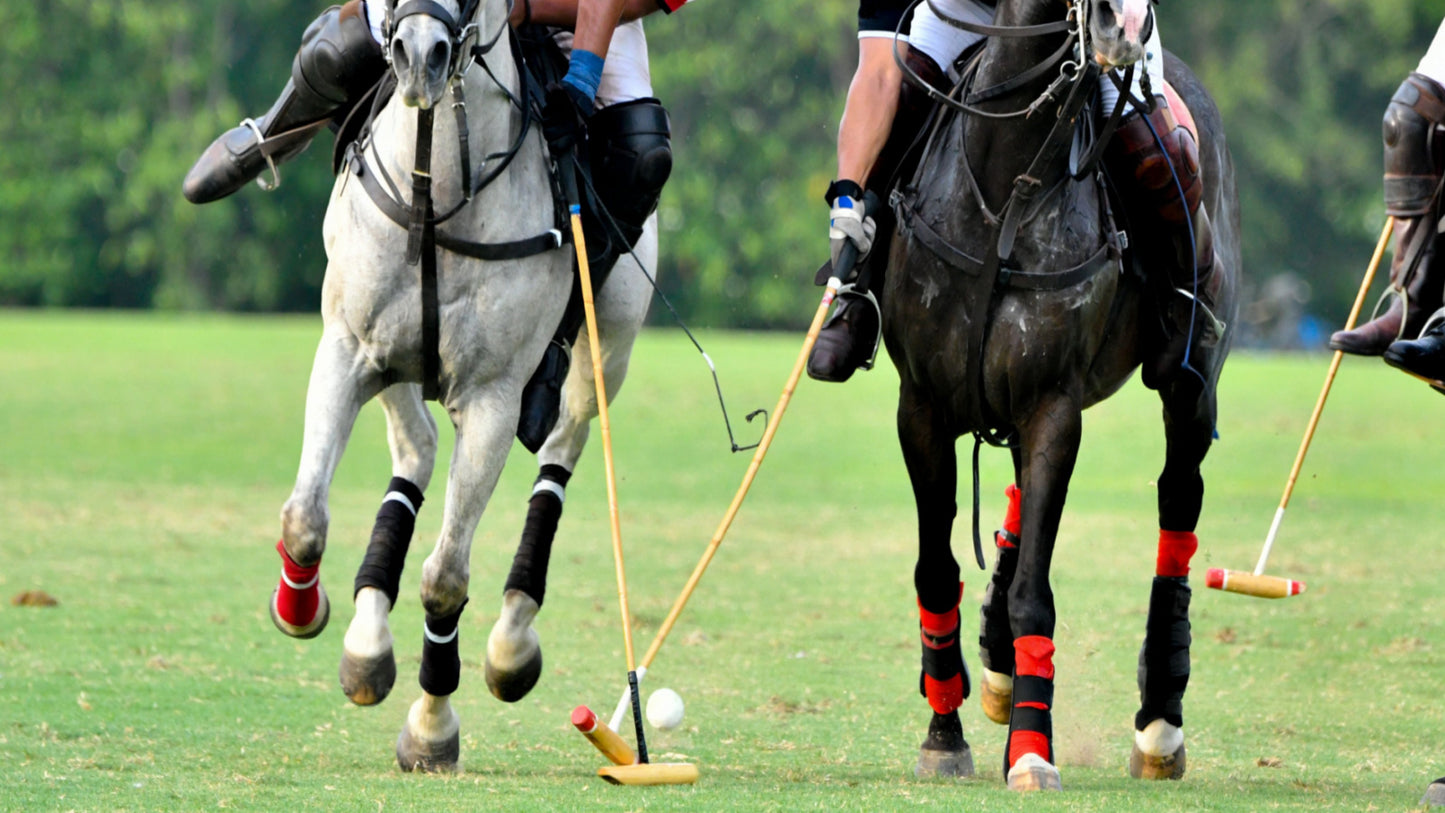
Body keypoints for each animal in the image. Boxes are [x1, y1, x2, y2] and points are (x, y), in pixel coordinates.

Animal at [265, 0, 656, 768]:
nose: (421, 56)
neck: (437, 193)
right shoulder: (347, 348)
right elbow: (304, 520)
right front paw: (303, 609)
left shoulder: (494, 399)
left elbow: (445, 577)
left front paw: (431, 728)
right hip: (393, 364)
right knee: (414, 447)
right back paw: (366, 637)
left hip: (606, 351)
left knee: (558, 455)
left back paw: (511, 643)